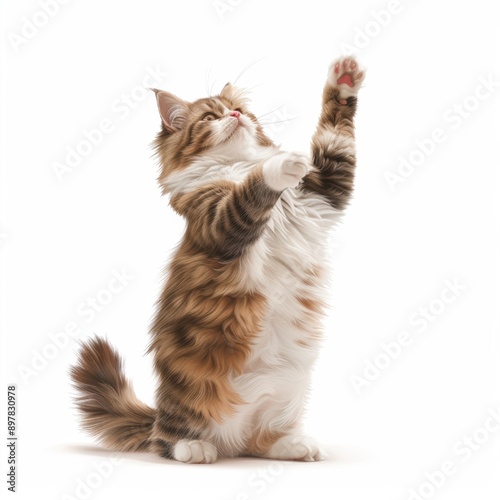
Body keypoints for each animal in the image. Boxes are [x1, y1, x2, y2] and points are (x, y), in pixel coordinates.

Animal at [70, 55, 366, 464]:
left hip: (287, 392)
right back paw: (195, 448)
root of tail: (233, 442)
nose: (236, 116)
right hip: (189, 389)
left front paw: (344, 79)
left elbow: (336, 136)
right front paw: (280, 164)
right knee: (166, 440)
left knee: (261, 442)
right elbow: (252, 189)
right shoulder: (219, 223)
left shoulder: (323, 191)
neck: (237, 164)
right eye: (211, 117)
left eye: (240, 110)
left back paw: (292, 445)